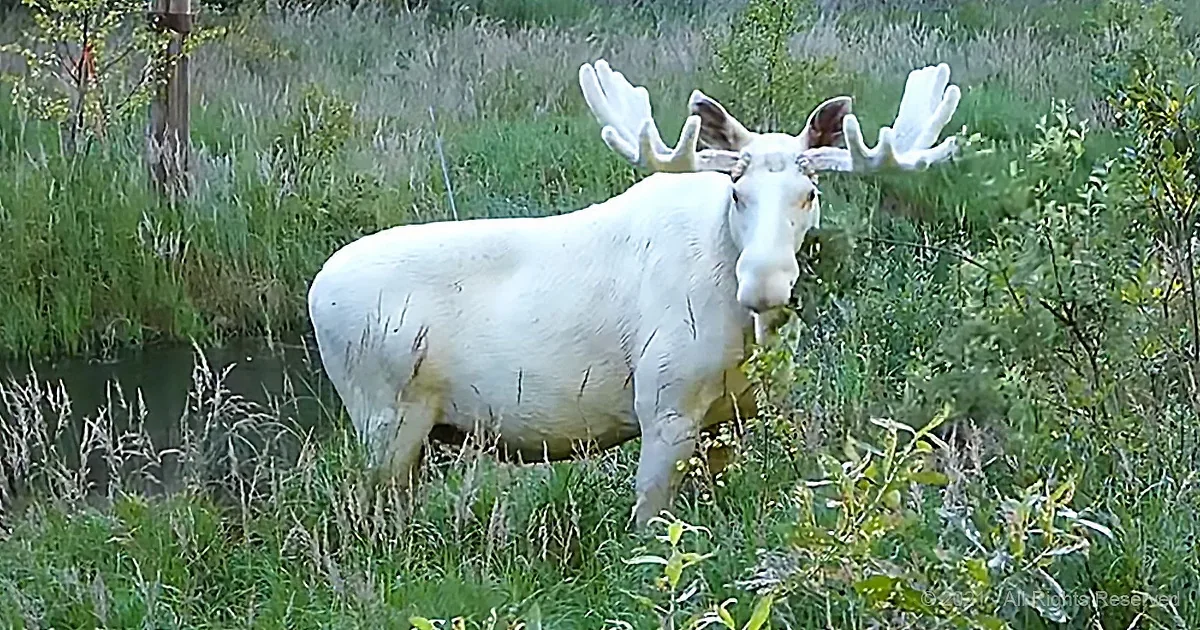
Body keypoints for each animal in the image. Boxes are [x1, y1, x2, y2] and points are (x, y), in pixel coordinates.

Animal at [306, 58, 962, 527]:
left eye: (811, 193)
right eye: (737, 192)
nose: (764, 282)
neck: (744, 335)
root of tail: (315, 291)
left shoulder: (732, 418)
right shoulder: (663, 402)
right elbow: (649, 522)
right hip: (384, 416)